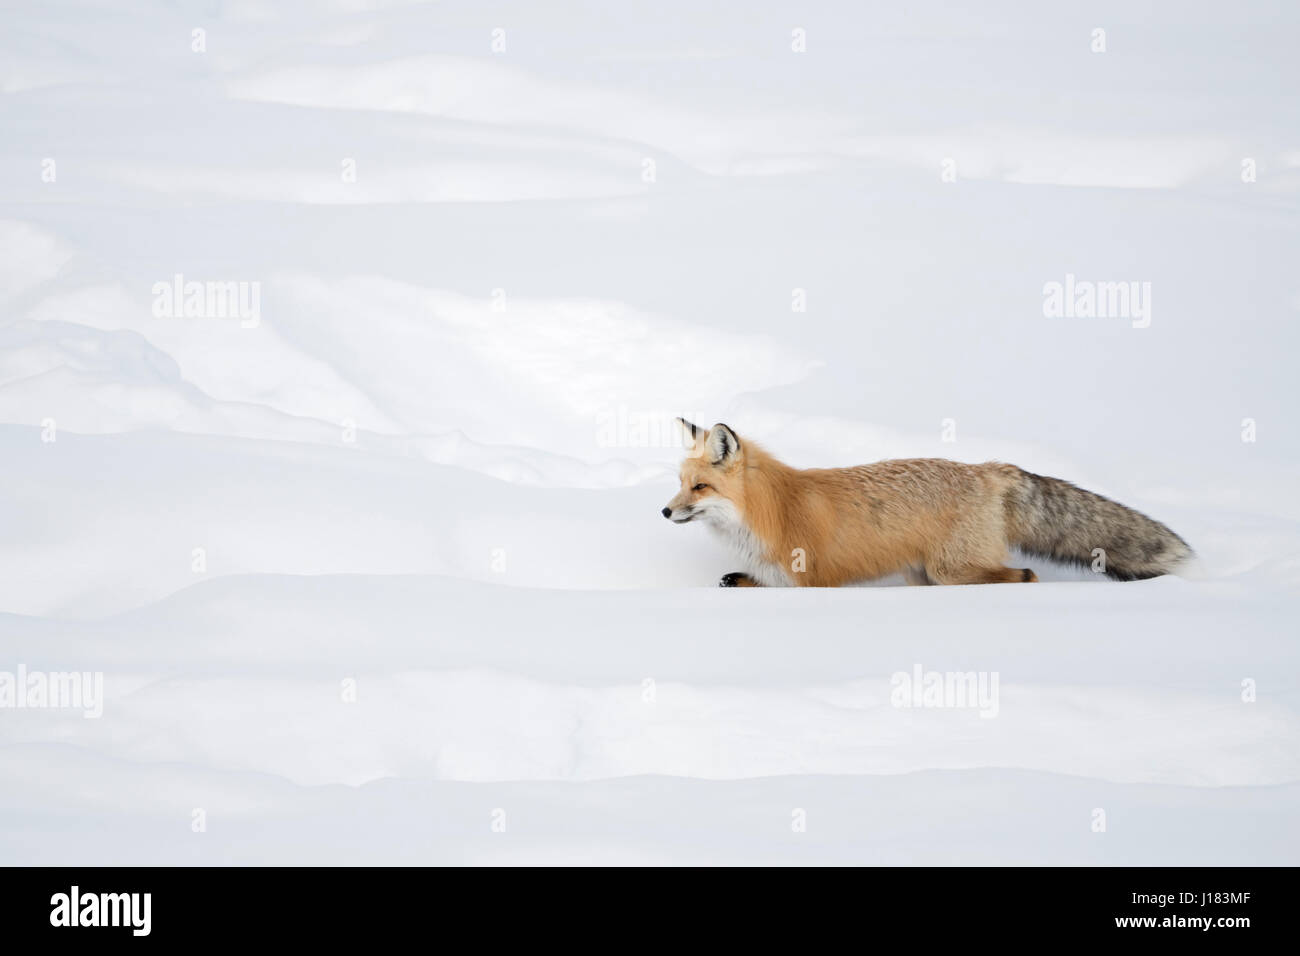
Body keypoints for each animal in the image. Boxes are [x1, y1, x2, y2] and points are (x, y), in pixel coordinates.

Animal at [662, 419, 1193, 588]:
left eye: (700, 488)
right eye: (680, 484)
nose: (665, 512)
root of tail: (988, 468)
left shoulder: (813, 582)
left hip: (951, 569)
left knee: (1025, 576)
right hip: (924, 575)